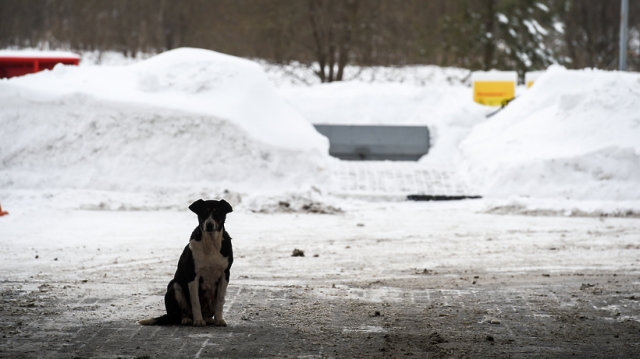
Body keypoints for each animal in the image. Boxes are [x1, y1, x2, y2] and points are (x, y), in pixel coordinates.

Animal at [139, 200, 234, 330]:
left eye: (217, 212)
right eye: (204, 212)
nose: (209, 225)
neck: (211, 244)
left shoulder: (225, 275)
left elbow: (220, 300)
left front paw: (219, 320)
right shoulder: (193, 276)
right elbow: (195, 301)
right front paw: (198, 321)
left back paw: (208, 319)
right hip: (174, 285)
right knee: (180, 314)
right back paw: (187, 319)